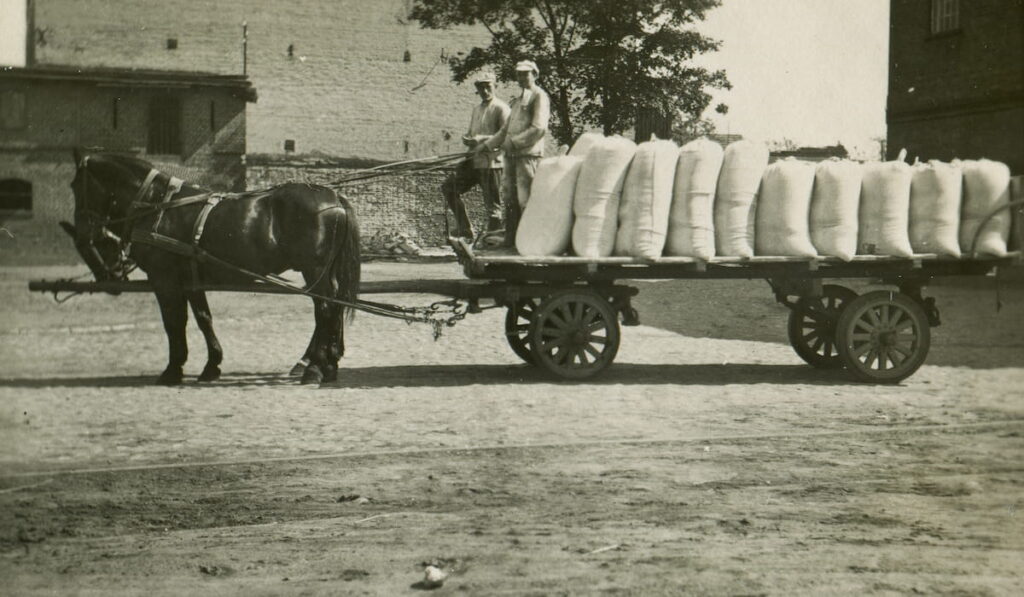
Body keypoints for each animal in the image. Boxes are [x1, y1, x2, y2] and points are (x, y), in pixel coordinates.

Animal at [67, 147, 360, 385]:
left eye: (75, 185)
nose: (82, 233)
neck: (158, 205)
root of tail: (334, 198)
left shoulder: (165, 280)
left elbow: (174, 322)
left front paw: (173, 370)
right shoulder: (191, 280)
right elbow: (202, 319)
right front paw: (211, 365)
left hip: (314, 270)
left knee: (324, 309)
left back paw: (314, 368)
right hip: (324, 272)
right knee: (333, 307)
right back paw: (328, 365)